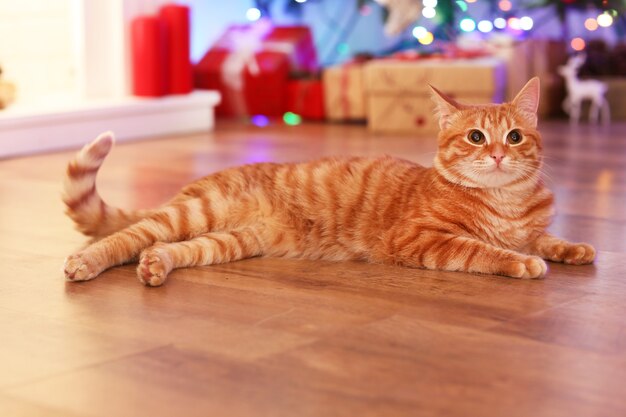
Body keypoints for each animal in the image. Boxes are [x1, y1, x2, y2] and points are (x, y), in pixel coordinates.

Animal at [63, 77, 596, 286]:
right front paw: (521, 263)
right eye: (475, 136)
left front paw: (573, 249)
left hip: (227, 241)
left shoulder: (531, 226)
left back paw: (156, 266)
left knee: (164, 248)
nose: (498, 153)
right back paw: (86, 262)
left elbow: (546, 238)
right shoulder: (421, 239)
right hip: (192, 213)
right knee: (126, 237)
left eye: (514, 136)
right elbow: (485, 251)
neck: (506, 201)